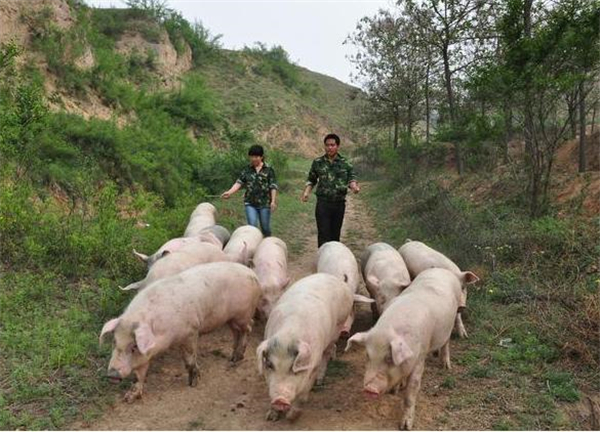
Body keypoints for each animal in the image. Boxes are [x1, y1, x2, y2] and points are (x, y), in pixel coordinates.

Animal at [99, 262, 262, 404]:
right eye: (114, 341)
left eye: (134, 347)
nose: (112, 374)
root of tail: (253, 274)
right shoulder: (146, 355)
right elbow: (139, 375)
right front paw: (129, 398)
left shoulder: (191, 332)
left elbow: (189, 359)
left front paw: (193, 384)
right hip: (231, 319)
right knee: (236, 332)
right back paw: (232, 358)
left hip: (243, 314)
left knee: (249, 327)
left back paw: (238, 357)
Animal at [255, 274, 372, 422]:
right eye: (270, 365)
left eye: (293, 368)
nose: (280, 400)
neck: (288, 334)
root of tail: (342, 284)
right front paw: (270, 417)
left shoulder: (313, 364)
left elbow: (303, 395)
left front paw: (291, 417)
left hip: (337, 327)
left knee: (328, 352)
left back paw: (319, 382)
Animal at [344, 268, 466, 430]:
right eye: (367, 356)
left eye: (389, 358)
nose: (370, 389)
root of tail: (440, 269)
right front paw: (396, 389)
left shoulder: (420, 358)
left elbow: (411, 392)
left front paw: (405, 426)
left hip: (450, 323)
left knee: (446, 343)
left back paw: (446, 366)